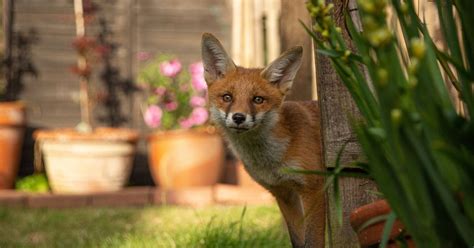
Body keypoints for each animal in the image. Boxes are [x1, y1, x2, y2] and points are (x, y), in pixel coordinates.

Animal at [200, 33, 326, 248]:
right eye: (227, 97)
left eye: (258, 99)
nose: (239, 117)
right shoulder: (284, 193)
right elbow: (297, 240)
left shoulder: (313, 189)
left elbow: (312, 241)